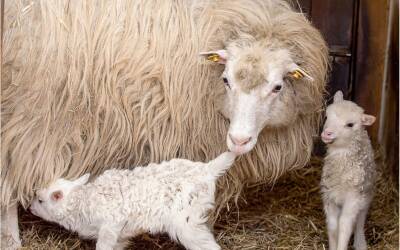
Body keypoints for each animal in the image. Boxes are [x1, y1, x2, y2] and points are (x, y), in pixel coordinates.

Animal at [29, 151, 236, 249]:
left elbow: (103, 245)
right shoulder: (119, 234)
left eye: (40, 200)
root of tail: (207, 170)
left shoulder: (110, 224)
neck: (81, 200)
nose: (29, 208)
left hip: (186, 222)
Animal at [320, 91, 376, 250]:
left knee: (361, 219)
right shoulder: (329, 195)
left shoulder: (353, 198)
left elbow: (345, 226)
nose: (327, 133)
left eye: (350, 124)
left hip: (367, 193)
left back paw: (360, 242)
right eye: (327, 117)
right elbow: (333, 226)